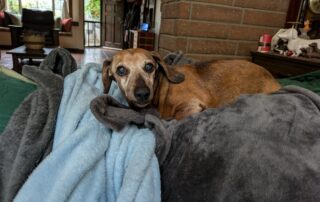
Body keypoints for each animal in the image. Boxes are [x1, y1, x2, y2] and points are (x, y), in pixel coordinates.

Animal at [103, 47, 280, 120]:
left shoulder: (191, 104)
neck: (163, 89)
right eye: (121, 70)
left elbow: (176, 116)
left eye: (149, 66)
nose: (142, 93)